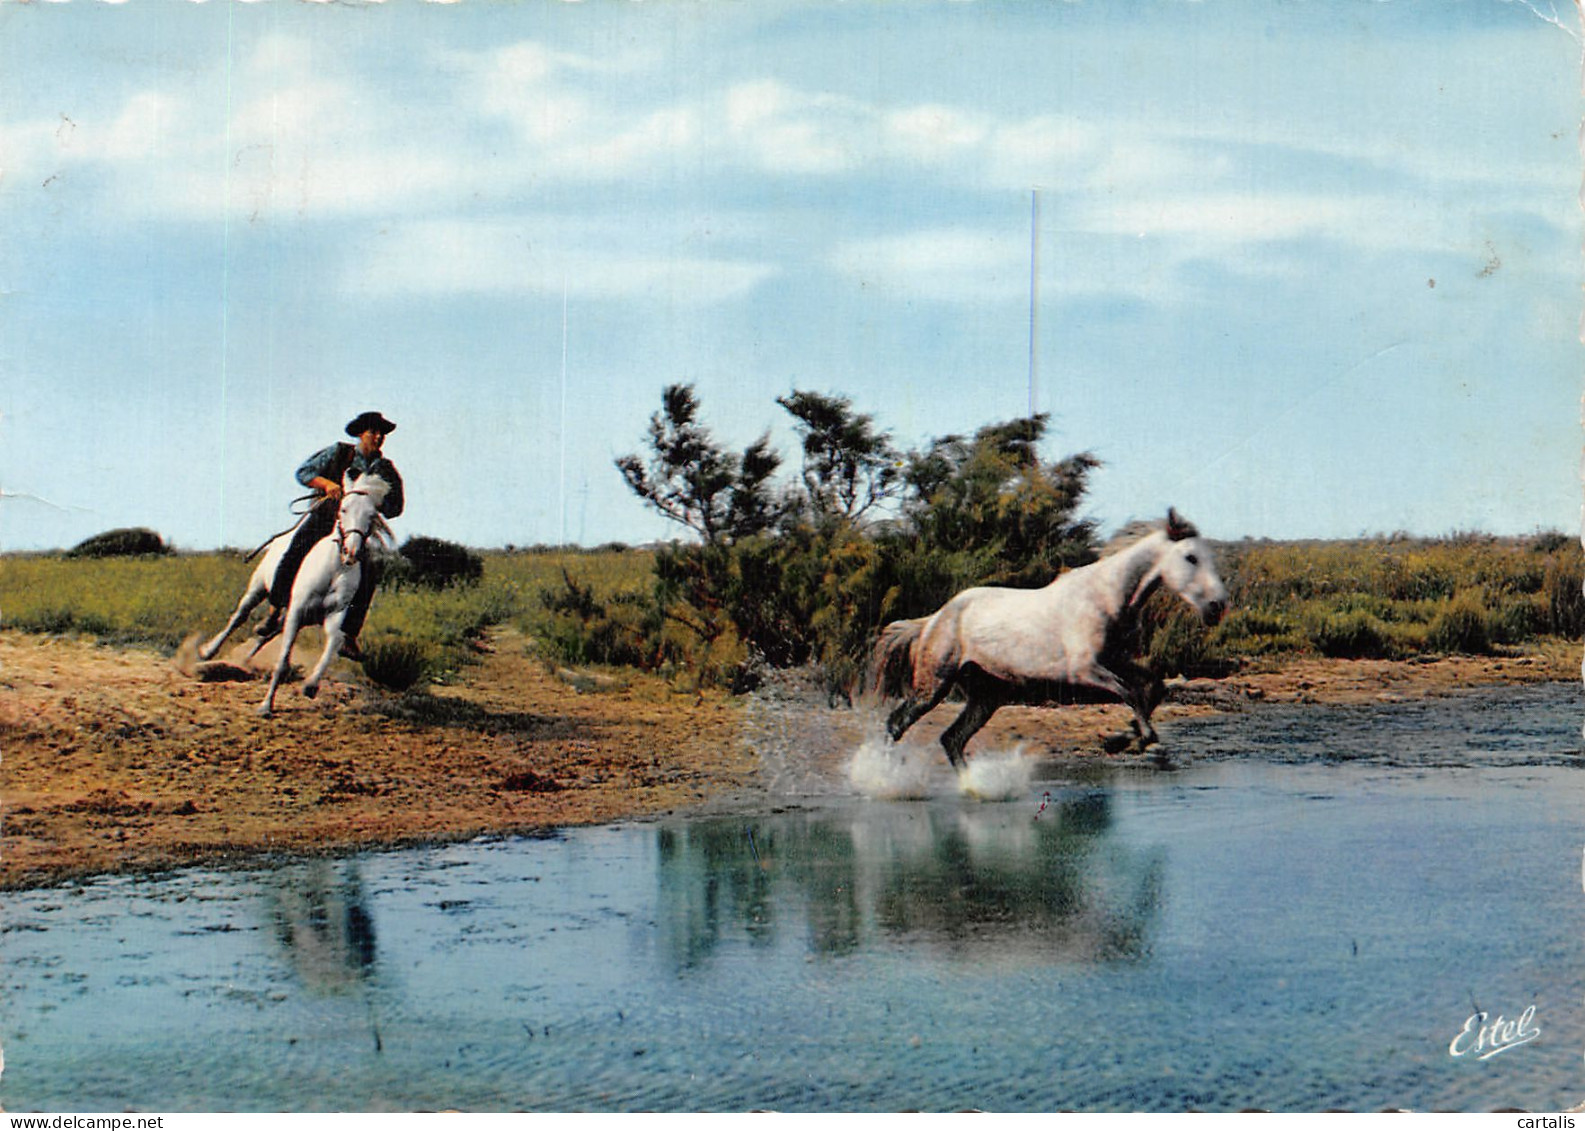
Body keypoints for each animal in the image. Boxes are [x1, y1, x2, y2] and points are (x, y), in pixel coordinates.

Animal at [195, 472, 393, 719]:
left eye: (372, 515)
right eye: (344, 509)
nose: (351, 552)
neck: (334, 569)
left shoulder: (333, 615)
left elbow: (335, 641)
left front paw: (311, 685)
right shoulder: (297, 611)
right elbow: (282, 662)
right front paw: (265, 706)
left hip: (295, 616)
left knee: (269, 632)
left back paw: (245, 658)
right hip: (258, 588)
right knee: (239, 617)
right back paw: (207, 652)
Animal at [868, 510, 1223, 766]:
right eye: (1191, 557)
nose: (1217, 606)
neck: (1105, 597)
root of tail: (933, 619)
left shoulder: (1115, 660)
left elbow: (1153, 687)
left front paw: (1127, 737)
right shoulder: (1084, 669)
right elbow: (1130, 691)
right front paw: (1139, 740)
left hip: (986, 696)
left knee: (952, 739)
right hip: (933, 686)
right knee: (896, 725)